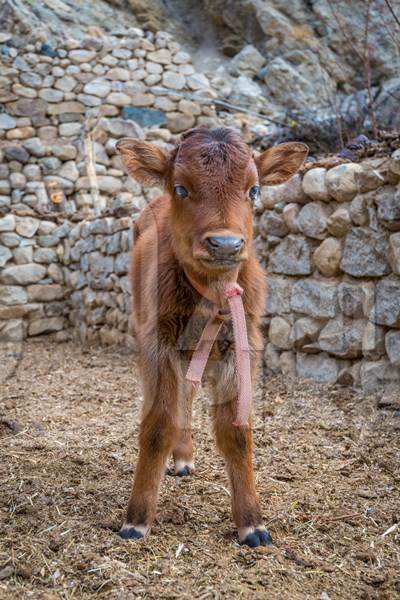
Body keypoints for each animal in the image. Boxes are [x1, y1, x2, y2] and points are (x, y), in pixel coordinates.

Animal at [116, 129, 310, 548]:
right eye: (181, 188)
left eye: (254, 189)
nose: (225, 244)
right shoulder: (157, 343)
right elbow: (157, 423)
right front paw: (137, 518)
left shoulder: (243, 344)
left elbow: (236, 431)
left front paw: (252, 523)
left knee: (188, 395)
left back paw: (184, 458)